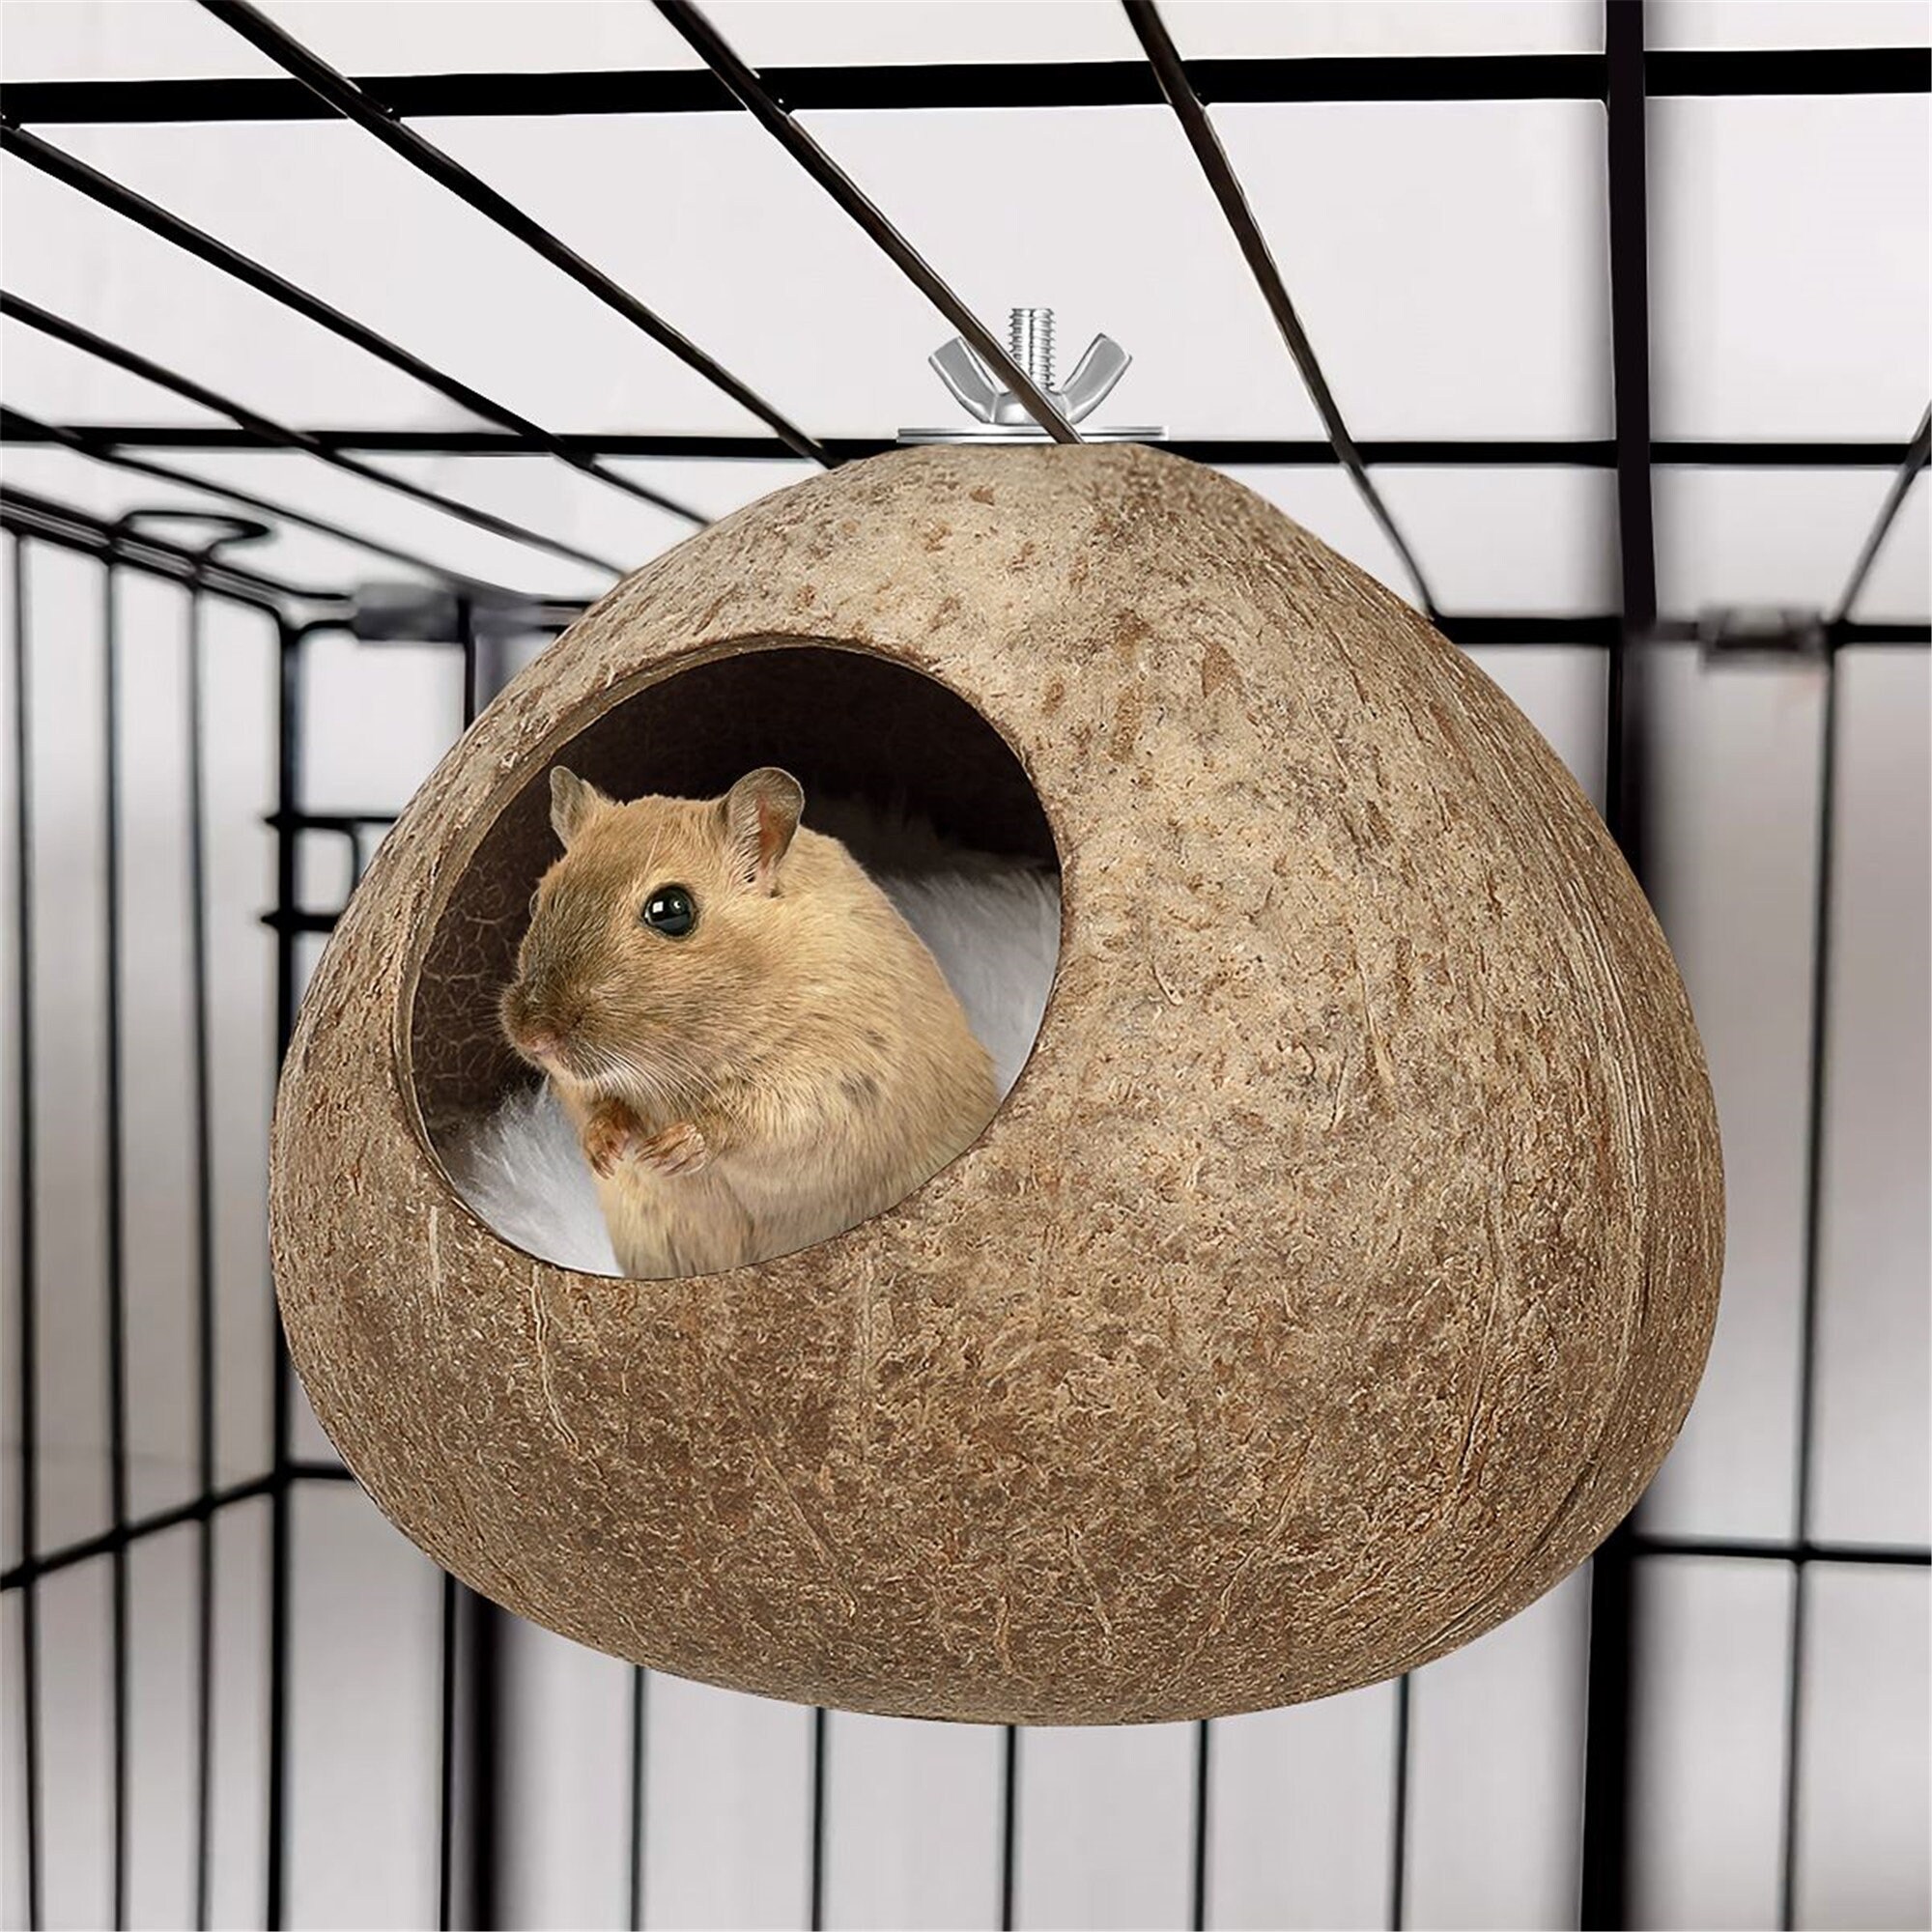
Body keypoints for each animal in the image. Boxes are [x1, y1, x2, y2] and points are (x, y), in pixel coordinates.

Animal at [499, 764, 1000, 1280]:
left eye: (671, 910)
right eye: (538, 900)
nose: (535, 1038)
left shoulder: (833, 1071)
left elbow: (742, 1119)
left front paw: (668, 1150)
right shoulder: (581, 1088)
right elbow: (598, 1106)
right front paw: (604, 1153)